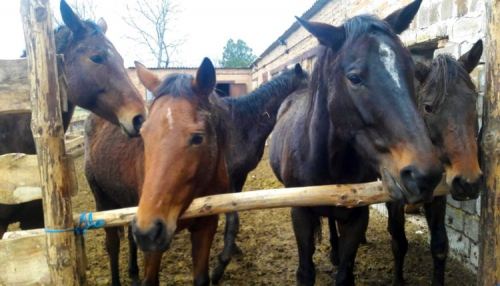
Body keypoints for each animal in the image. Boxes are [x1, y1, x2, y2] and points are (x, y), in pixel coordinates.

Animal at [84, 57, 229, 284]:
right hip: (104, 201)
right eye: (143, 134)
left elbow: (201, 279)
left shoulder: (206, 225)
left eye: (198, 137)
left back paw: (133, 272)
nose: (148, 232)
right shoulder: (152, 245)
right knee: (113, 245)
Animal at [210, 62, 308, 282]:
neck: (240, 124)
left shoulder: (240, 177)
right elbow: (233, 220)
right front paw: (220, 267)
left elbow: (232, 219)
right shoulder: (228, 180)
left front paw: (232, 250)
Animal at [270, 0, 442, 284]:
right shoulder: (300, 215)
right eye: (354, 78)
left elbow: (345, 273)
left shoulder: (357, 216)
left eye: (411, 69)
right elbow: (305, 272)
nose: (424, 175)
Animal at [384, 39, 482, 286]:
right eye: (427, 107)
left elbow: (439, 246)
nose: (468, 182)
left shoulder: (439, 192)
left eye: (474, 100)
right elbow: (399, 242)